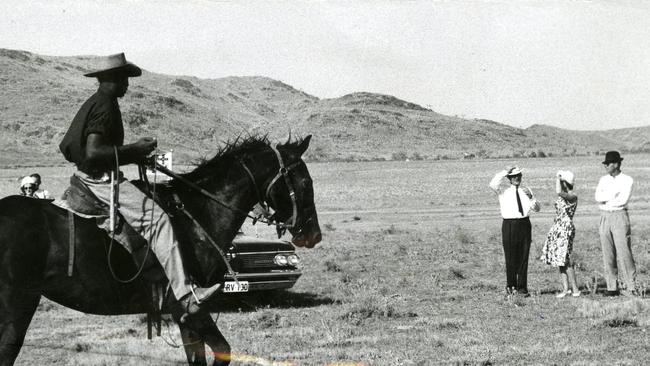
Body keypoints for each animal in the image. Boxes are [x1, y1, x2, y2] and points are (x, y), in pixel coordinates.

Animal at [0, 136, 322, 364]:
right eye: (306, 182)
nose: (313, 235)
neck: (198, 213)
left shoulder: (185, 317)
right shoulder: (188, 308)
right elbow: (222, 351)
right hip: (17, 306)